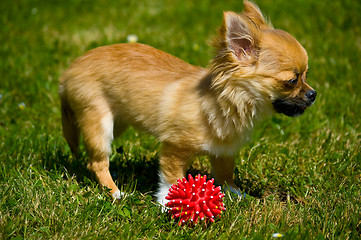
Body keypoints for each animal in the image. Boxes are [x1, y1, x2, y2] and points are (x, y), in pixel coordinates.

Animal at [59, 0, 316, 204]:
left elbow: (225, 176)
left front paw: (238, 196)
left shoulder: (224, 151)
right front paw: (167, 204)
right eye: (291, 81)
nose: (313, 94)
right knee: (98, 163)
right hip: (99, 124)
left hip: (118, 121)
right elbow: (172, 179)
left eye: (306, 74)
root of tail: (68, 72)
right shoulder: (175, 148)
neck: (224, 102)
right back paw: (115, 193)